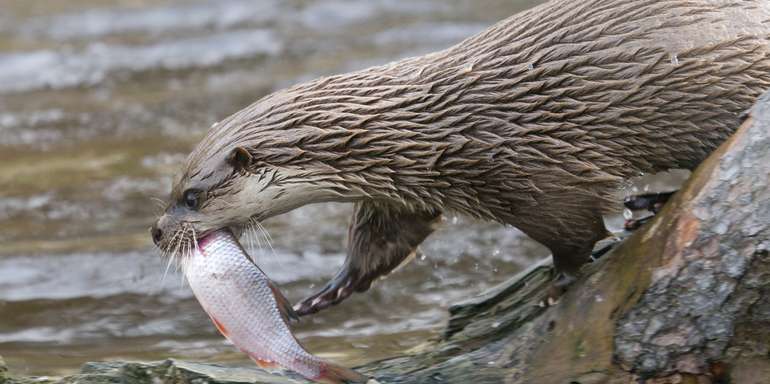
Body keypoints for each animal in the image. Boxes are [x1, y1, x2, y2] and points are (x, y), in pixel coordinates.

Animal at [150, 0, 768, 316]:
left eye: (192, 196)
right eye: (174, 187)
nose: (157, 231)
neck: (431, 134)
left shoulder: (535, 176)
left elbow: (575, 234)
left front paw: (559, 283)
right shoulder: (400, 190)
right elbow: (385, 238)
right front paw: (332, 289)